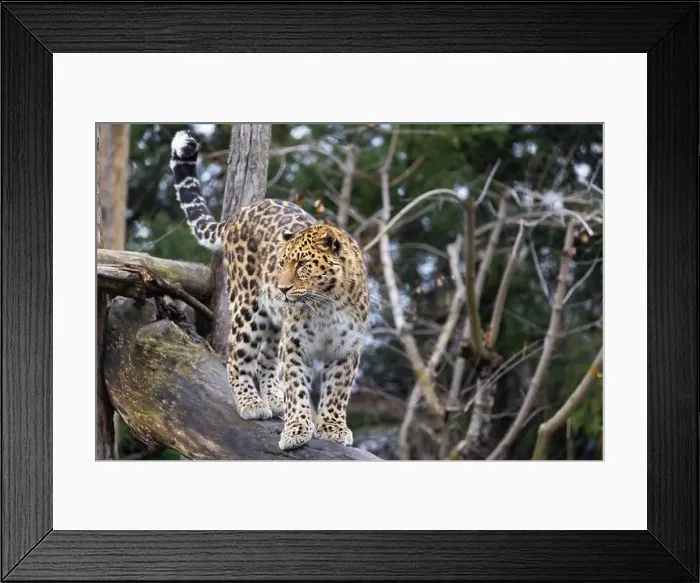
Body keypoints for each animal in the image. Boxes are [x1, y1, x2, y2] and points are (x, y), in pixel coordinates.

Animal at [170, 129, 370, 451]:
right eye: (281, 263)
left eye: (302, 264)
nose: (283, 288)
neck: (326, 303)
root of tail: (240, 213)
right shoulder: (296, 344)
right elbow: (297, 387)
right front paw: (297, 429)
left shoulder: (346, 349)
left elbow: (337, 391)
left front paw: (333, 428)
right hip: (248, 311)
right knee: (238, 359)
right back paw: (251, 403)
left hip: (275, 323)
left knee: (266, 361)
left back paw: (274, 399)